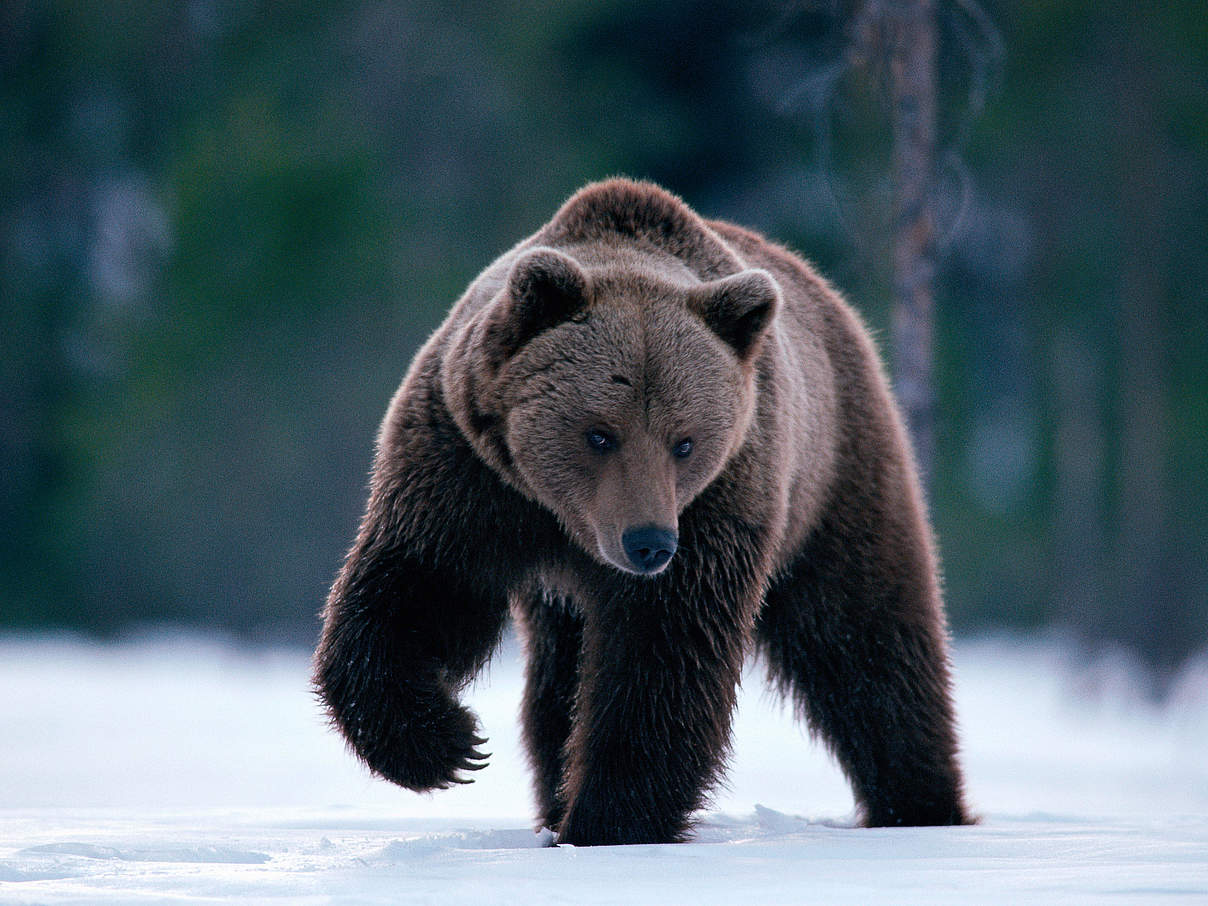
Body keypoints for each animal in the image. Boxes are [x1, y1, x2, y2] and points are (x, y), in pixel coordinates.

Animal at [314, 178, 971, 850]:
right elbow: (420, 591)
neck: (564, 522)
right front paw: (447, 745)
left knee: (866, 641)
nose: (648, 542)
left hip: (834, 477)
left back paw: (919, 804)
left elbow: (662, 659)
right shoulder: (467, 474)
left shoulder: (717, 504)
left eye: (685, 441)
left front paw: (609, 822)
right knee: (557, 685)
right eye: (599, 433)